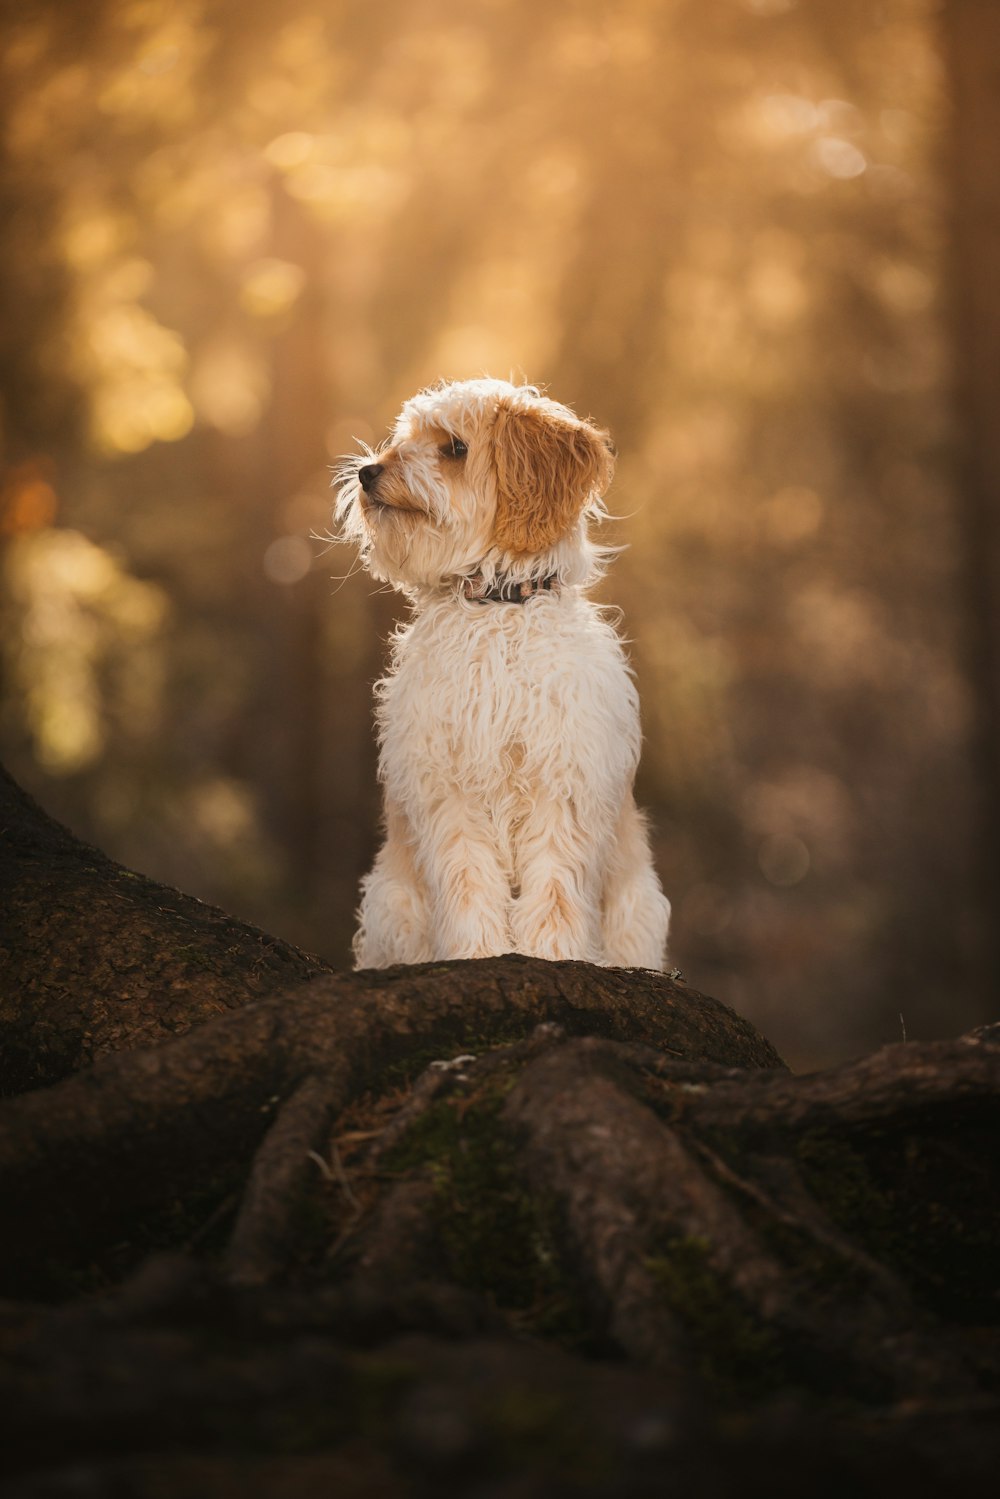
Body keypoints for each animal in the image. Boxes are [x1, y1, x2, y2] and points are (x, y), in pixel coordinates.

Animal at [335, 374, 671, 971]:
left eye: (454, 447)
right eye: (406, 438)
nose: (367, 472)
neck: (497, 610)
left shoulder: (561, 782)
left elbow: (555, 889)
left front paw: (553, 955)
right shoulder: (450, 786)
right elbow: (469, 882)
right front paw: (479, 952)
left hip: (638, 910)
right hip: (392, 907)